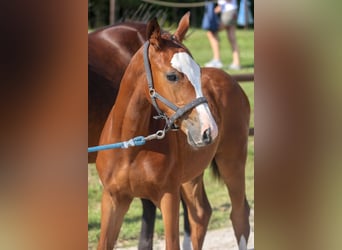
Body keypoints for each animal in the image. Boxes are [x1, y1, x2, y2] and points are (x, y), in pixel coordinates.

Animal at [95, 13, 250, 250]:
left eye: (198, 72)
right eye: (172, 76)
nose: (209, 130)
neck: (130, 145)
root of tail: (231, 80)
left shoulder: (168, 196)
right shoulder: (113, 198)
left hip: (232, 161)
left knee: (239, 215)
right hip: (191, 175)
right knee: (200, 214)